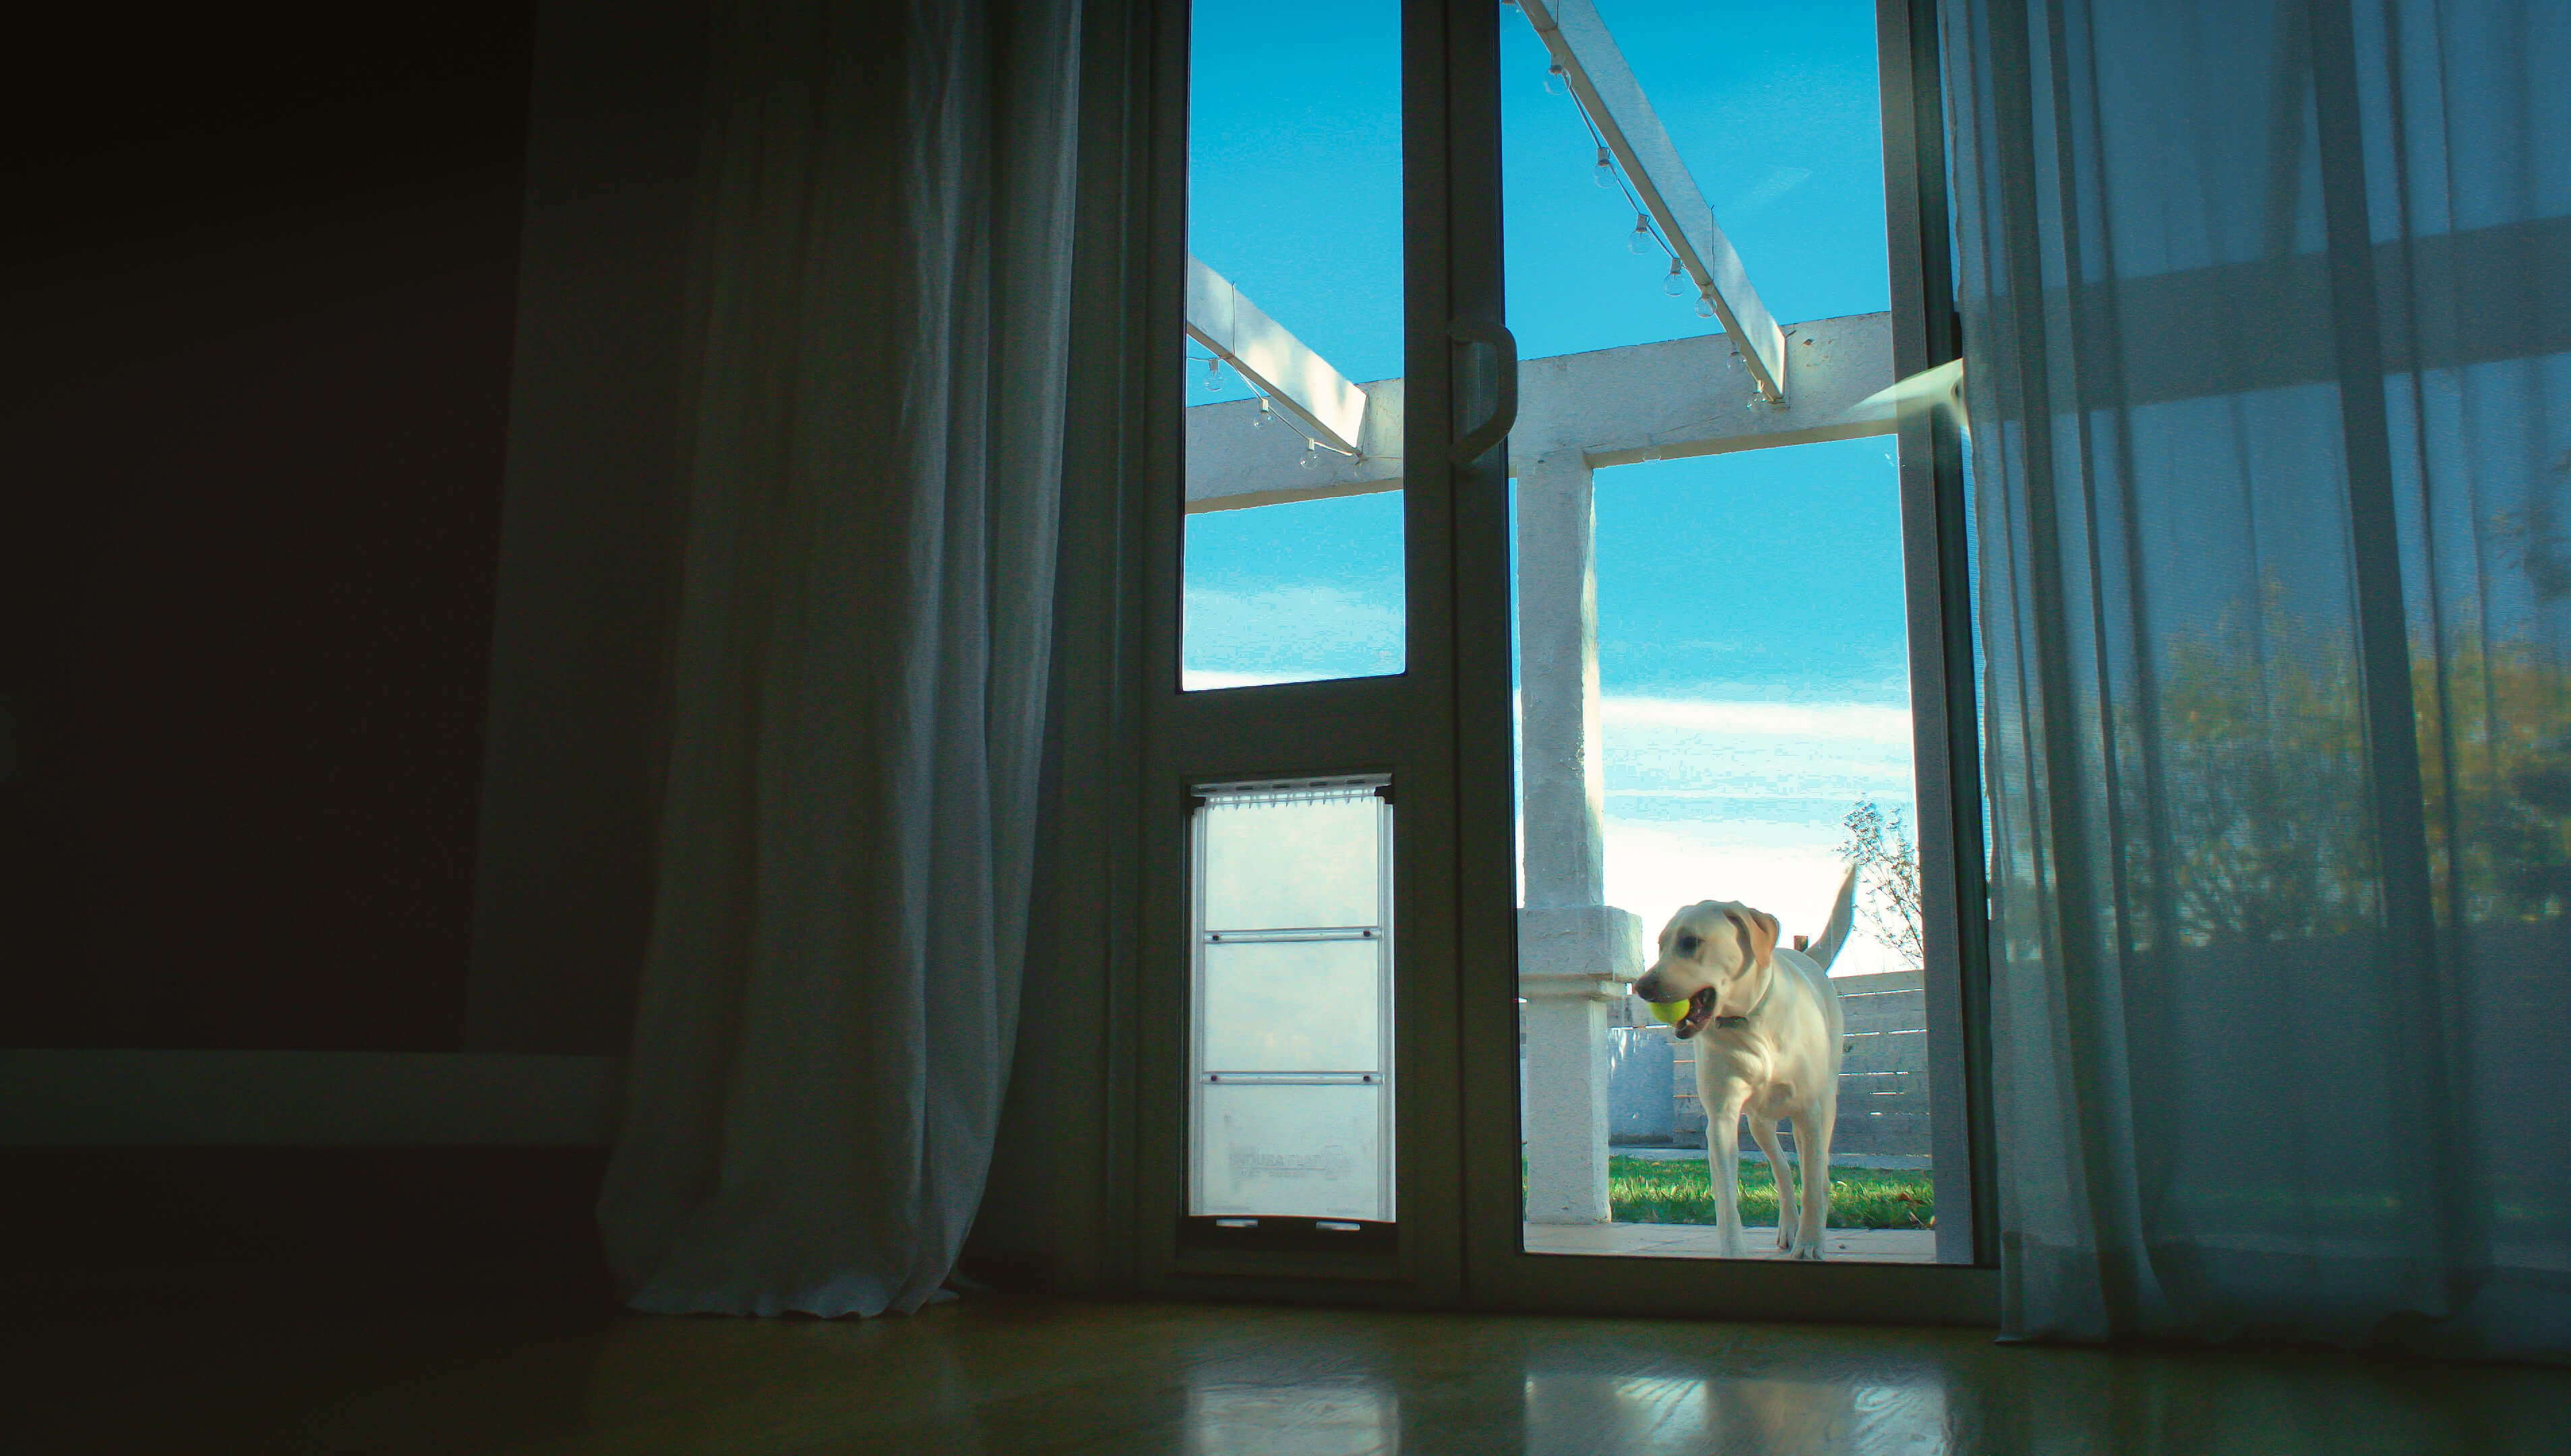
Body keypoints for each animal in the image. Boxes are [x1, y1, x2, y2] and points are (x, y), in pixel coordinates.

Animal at [1635, 874, 1861, 1260]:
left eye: (1690, 942)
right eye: (1661, 945)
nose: (1641, 986)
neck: (1749, 1022)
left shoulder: (1809, 1111)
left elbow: (1812, 1181)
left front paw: (1810, 1243)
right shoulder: (1722, 1119)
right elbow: (1726, 1199)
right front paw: (1733, 1250)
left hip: (1823, 1107)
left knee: (1817, 1170)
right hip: (1759, 1123)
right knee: (1782, 1168)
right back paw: (1789, 1226)